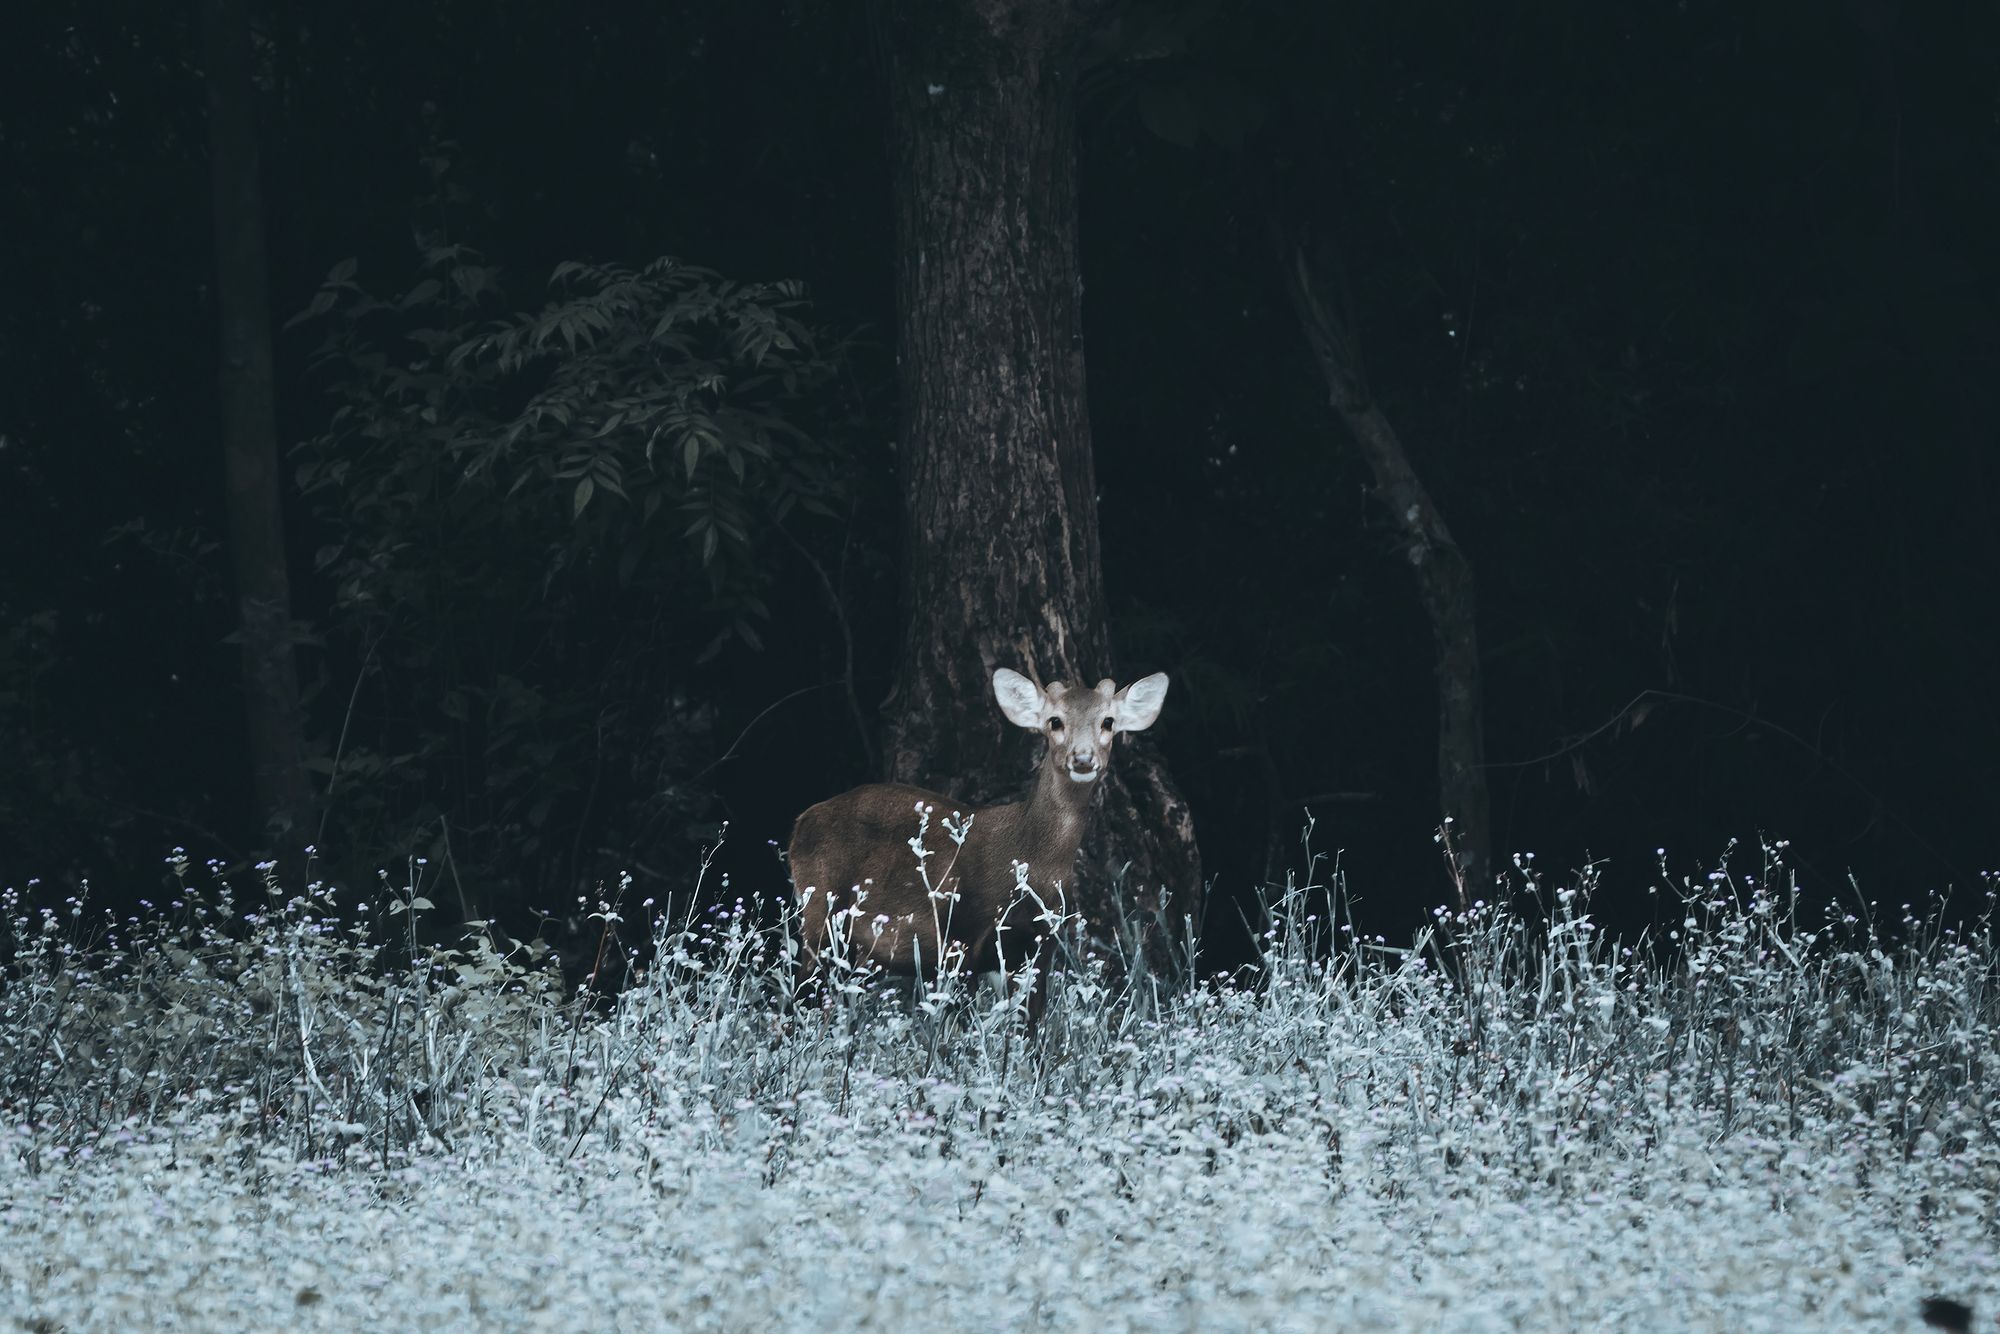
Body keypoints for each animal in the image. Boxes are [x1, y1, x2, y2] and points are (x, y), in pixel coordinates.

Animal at [788, 664, 1168, 1032]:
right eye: (1055, 721)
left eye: (1108, 722)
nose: (1084, 758)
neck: (1031, 861)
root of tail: (800, 822)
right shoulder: (960, 933)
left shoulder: (1040, 943)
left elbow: (1032, 1028)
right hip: (819, 913)